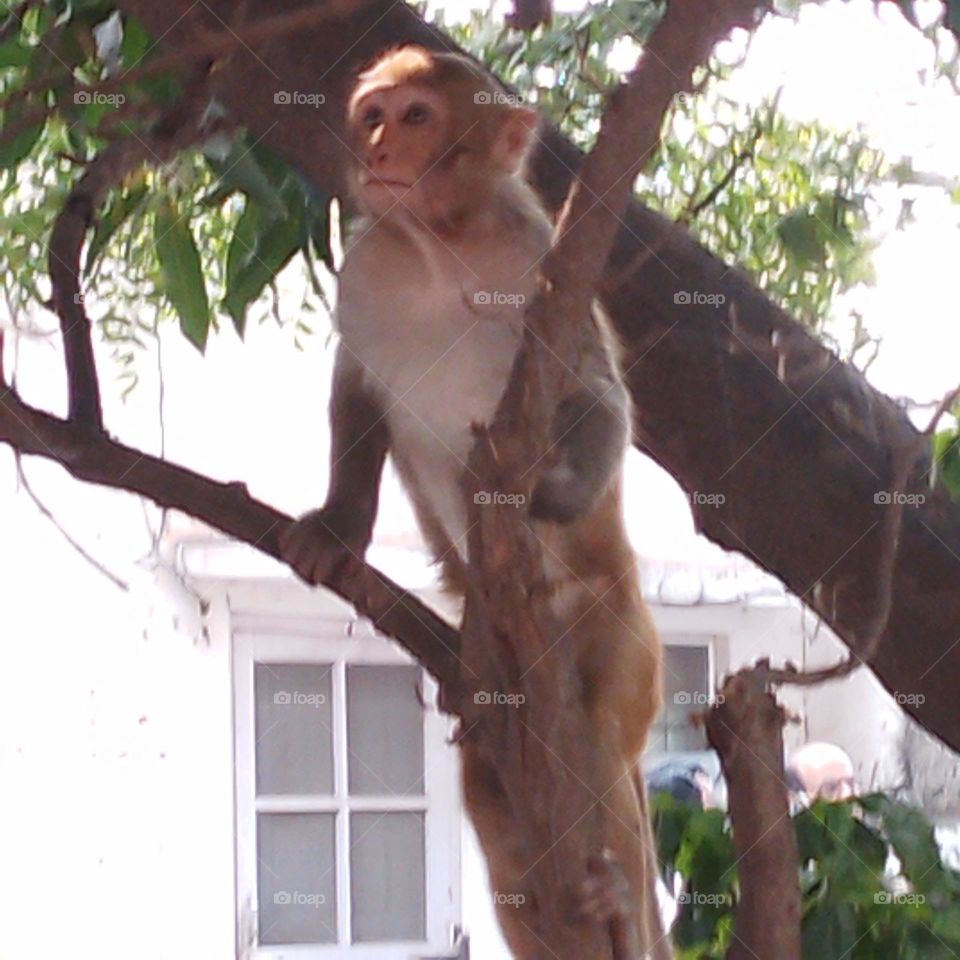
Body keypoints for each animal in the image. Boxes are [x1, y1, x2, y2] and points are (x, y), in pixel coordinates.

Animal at [280, 45, 666, 958]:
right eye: (374, 113)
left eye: (418, 116)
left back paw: (611, 897)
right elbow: (356, 392)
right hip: (490, 671)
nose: (379, 148)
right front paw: (337, 529)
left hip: (614, 623)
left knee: (596, 746)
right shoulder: (365, 276)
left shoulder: (545, 269)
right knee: (494, 785)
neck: (438, 249)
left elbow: (596, 392)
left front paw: (549, 496)